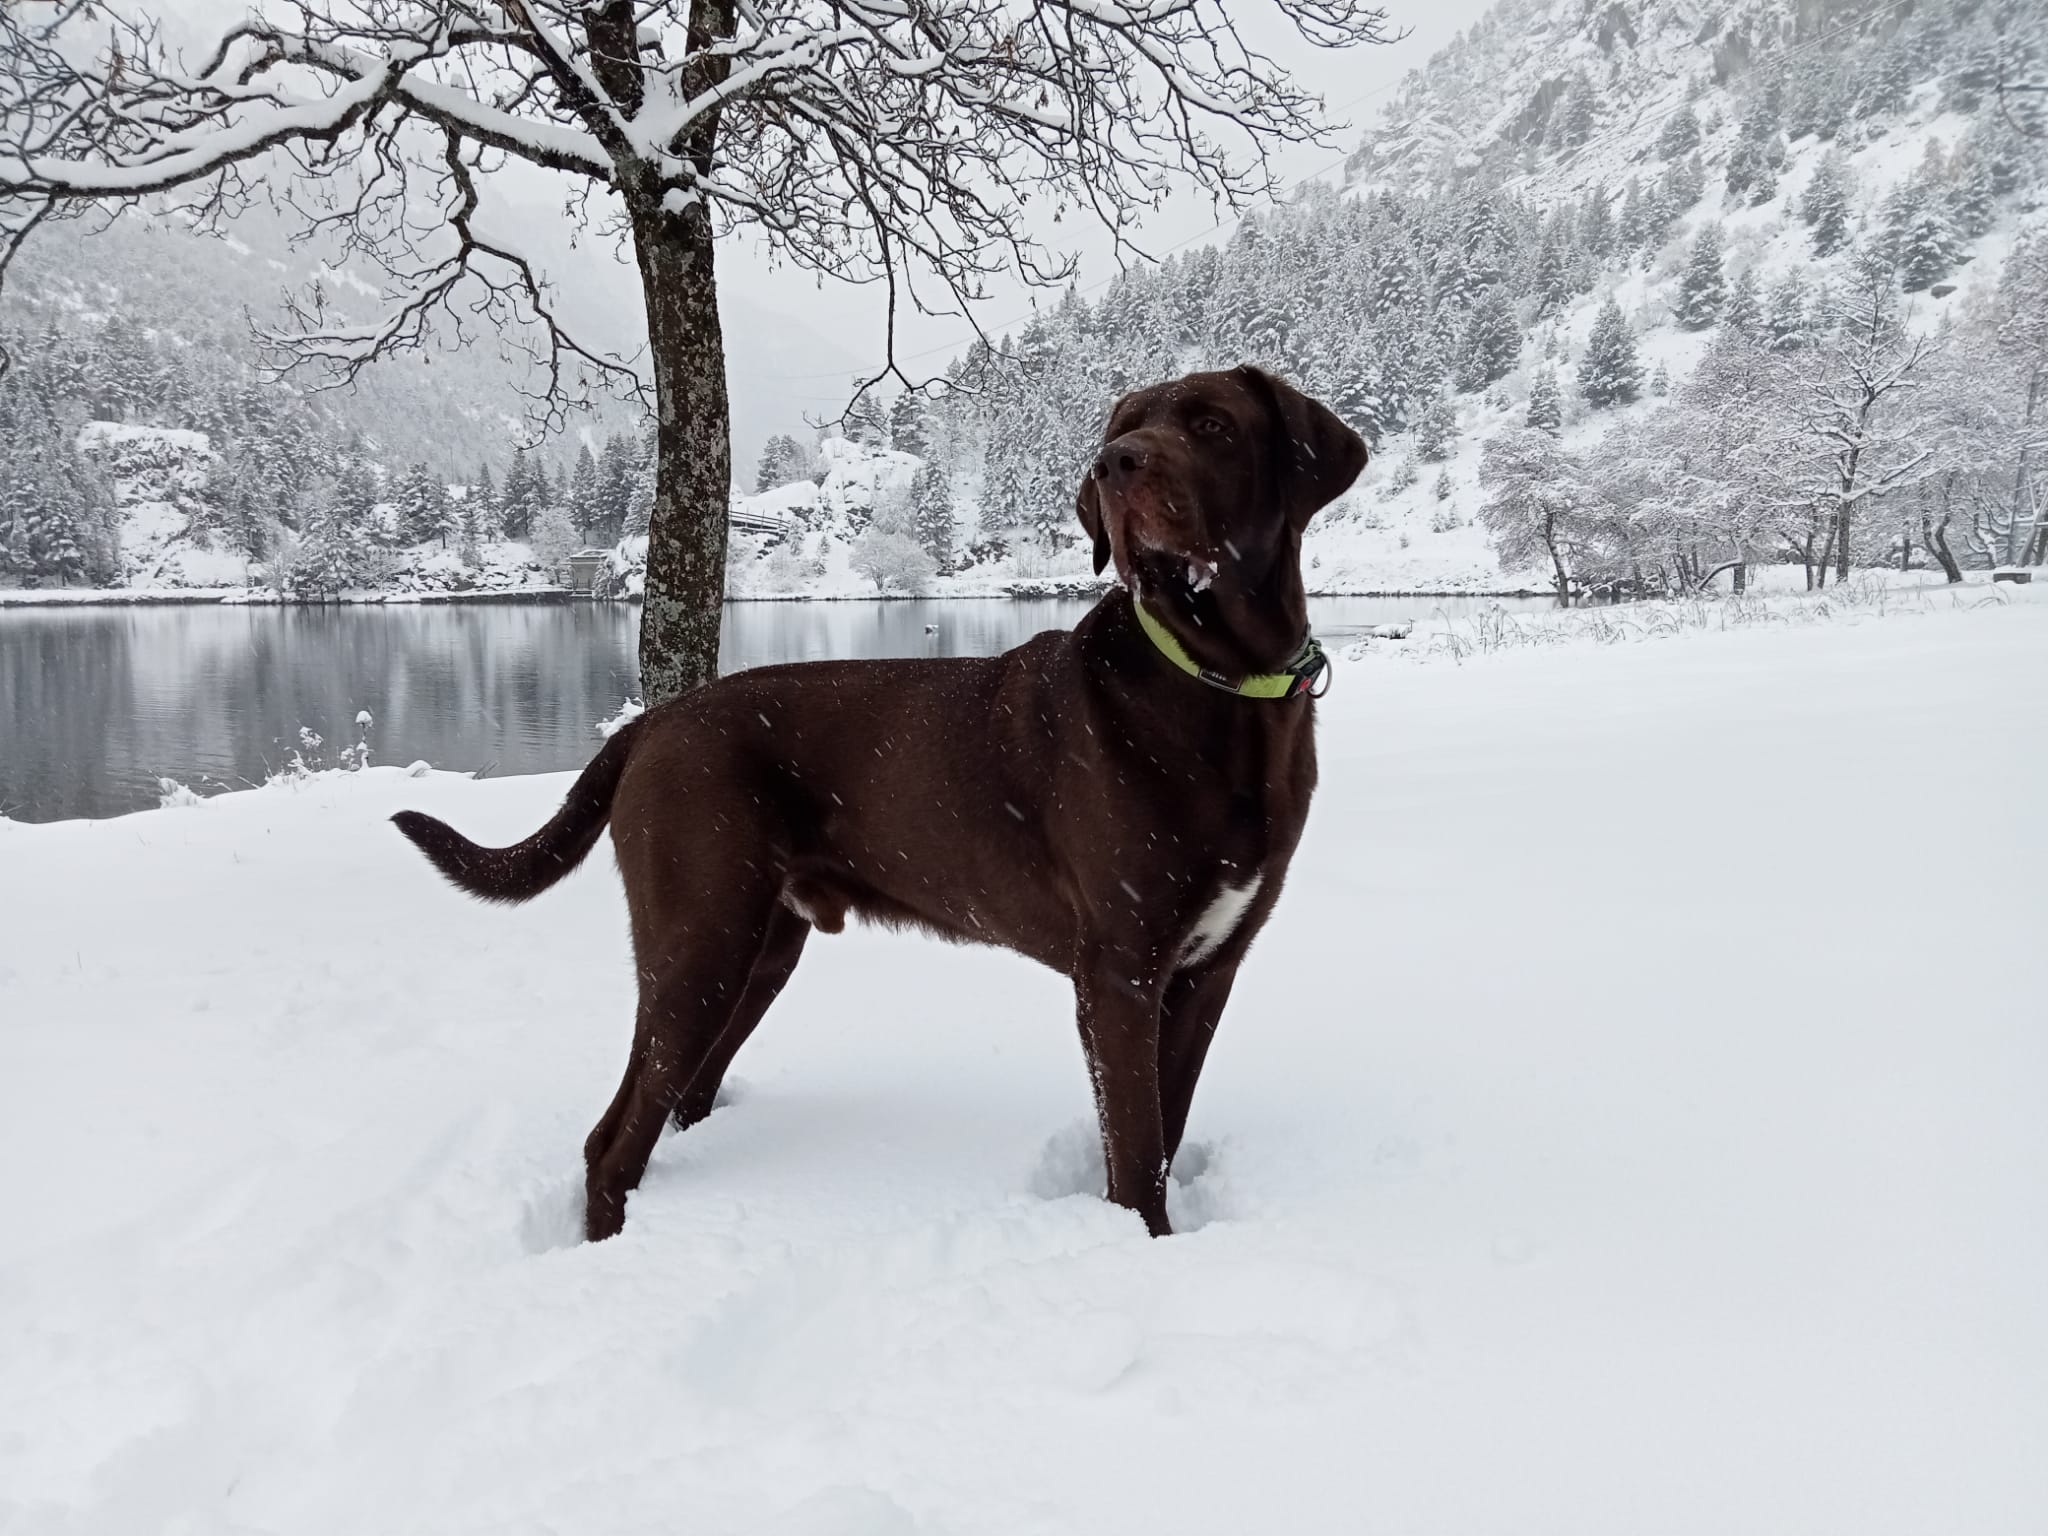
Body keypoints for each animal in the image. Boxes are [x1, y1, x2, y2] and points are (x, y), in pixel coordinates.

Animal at [391, 366, 1368, 1245]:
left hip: (759, 951)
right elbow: (1134, 1152)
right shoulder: (1120, 972)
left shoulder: (1208, 968)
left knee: (680, 1099)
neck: (1223, 688)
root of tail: (650, 722)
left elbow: (1164, 1128)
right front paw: (1142, 1251)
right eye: (1123, 426)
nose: (1112, 465)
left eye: (1211, 425)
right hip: (699, 941)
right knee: (611, 1138)